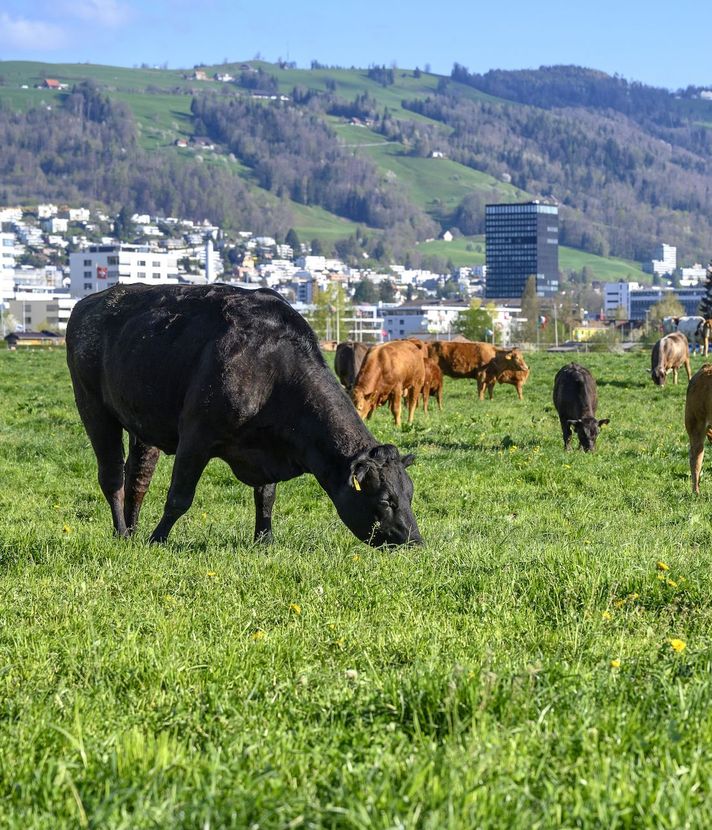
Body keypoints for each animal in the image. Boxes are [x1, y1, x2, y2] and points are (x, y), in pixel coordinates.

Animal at [65, 282, 422, 548]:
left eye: (409, 494)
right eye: (386, 499)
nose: (414, 541)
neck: (273, 367)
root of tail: (92, 301)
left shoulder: (267, 446)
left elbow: (266, 496)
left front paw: (264, 540)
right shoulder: (196, 436)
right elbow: (180, 496)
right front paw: (158, 539)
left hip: (142, 420)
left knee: (138, 477)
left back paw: (132, 531)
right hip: (93, 407)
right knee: (112, 476)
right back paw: (123, 533)